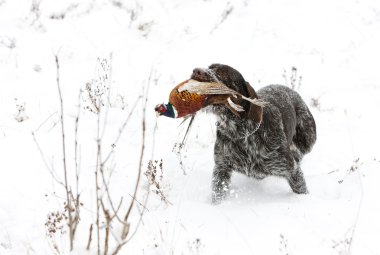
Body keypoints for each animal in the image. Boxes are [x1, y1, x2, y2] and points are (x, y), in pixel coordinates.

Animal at [190, 63, 318, 203]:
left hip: (308, 140)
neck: (241, 133)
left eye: (222, 72)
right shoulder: (221, 169)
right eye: (210, 67)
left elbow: (300, 188)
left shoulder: (292, 171)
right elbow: (218, 194)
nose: (196, 71)